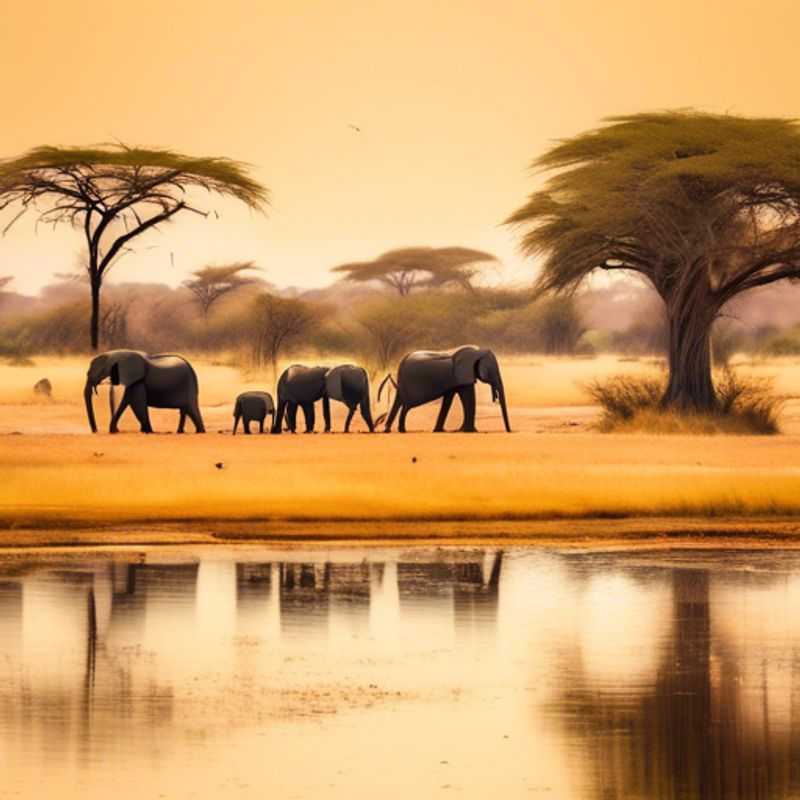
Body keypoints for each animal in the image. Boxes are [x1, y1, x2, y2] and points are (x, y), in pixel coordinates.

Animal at [378, 345, 511, 433]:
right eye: (492, 370)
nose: (509, 431)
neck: (476, 352)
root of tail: (403, 361)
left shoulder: (456, 379)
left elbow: (449, 400)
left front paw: (441, 430)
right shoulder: (463, 375)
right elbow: (468, 398)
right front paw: (469, 431)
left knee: (401, 403)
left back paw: (392, 430)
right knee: (406, 405)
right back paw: (400, 430)